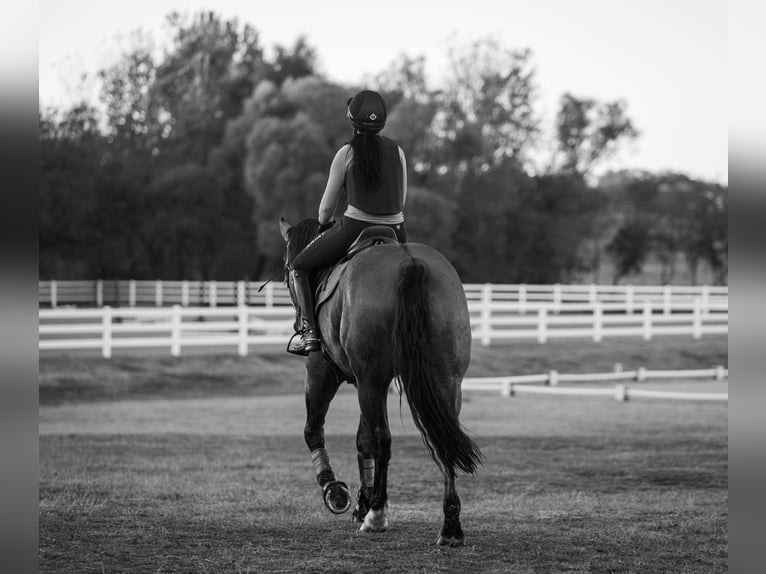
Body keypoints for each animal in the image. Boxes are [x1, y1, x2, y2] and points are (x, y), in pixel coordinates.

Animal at [280, 217, 484, 548]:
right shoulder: (369, 382)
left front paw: (336, 491)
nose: (299, 323)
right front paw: (362, 501)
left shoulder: (324, 371)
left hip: (370, 380)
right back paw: (450, 527)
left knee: (382, 439)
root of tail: (411, 264)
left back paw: (376, 516)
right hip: (445, 379)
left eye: (287, 270)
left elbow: (315, 431)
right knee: (443, 440)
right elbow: (362, 440)